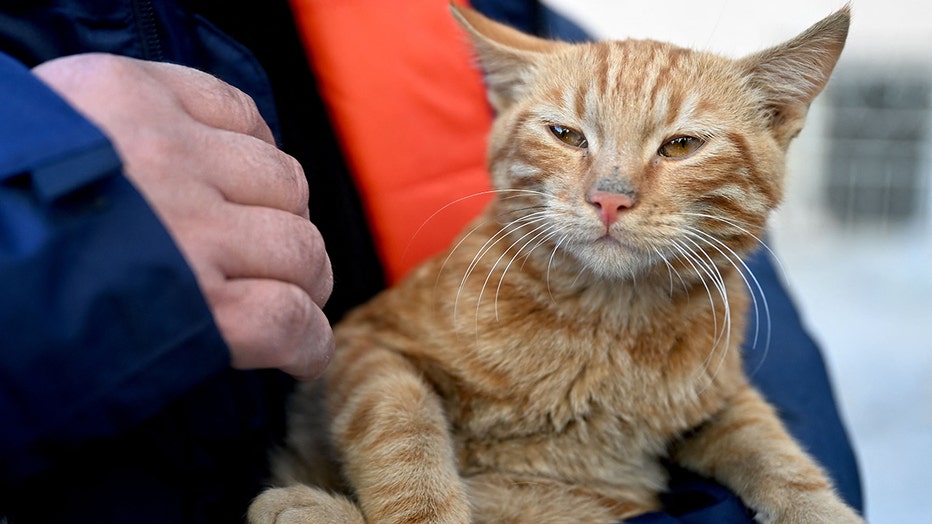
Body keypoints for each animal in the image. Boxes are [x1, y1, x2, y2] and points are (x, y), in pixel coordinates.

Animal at [249, 5, 868, 524]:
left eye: (681, 146)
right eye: (566, 135)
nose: (610, 198)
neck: (607, 325)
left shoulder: (714, 404)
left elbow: (774, 448)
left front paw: (820, 510)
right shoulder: (364, 343)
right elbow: (405, 432)